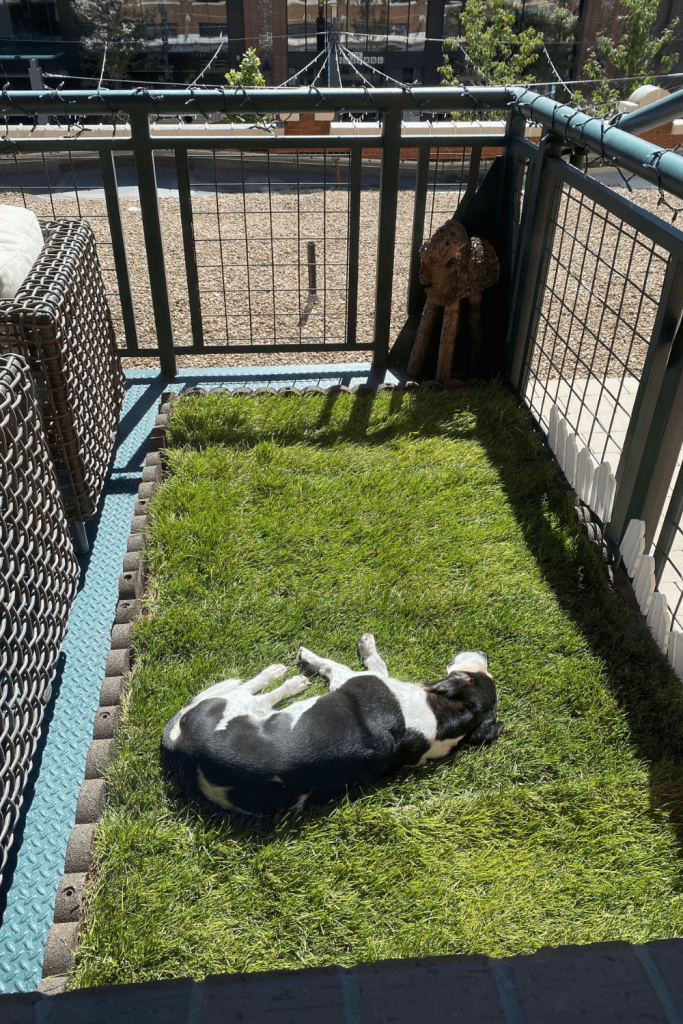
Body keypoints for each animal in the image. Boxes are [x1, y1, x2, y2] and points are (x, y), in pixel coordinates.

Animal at [160, 630, 501, 815]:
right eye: (483, 672)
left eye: (474, 673)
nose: (483, 650)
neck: (441, 721)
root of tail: (183, 746)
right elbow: (377, 662)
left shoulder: (348, 678)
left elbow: (347, 663)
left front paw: (313, 657)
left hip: (235, 705)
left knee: (253, 692)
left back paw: (281, 677)